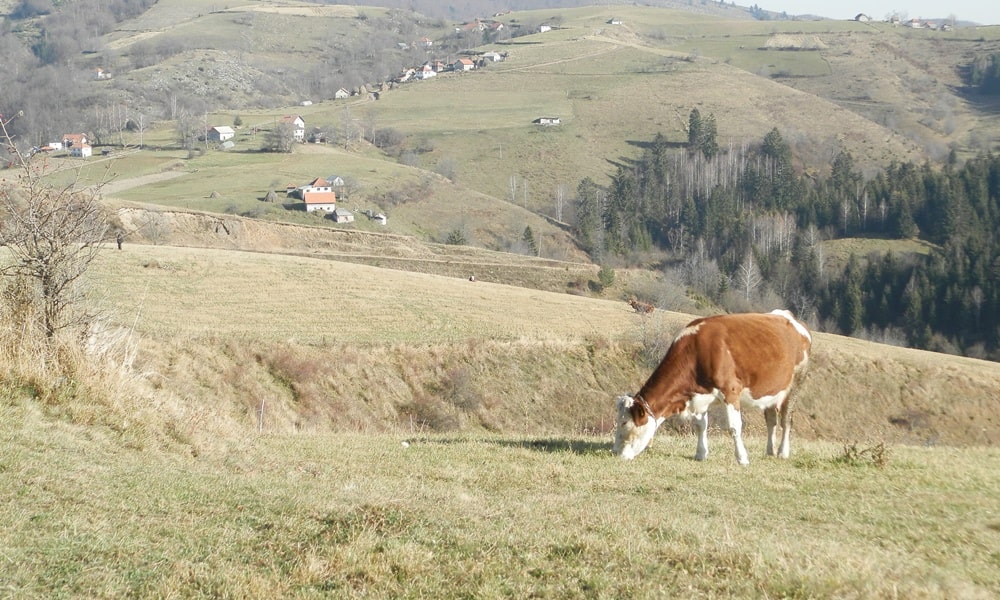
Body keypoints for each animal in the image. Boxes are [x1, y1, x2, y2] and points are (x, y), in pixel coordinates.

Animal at [608, 310, 812, 464]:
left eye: (624, 422)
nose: (615, 452)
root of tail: (788, 316)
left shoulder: (730, 390)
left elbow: (734, 427)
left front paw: (742, 458)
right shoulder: (699, 397)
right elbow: (701, 425)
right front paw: (701, 454)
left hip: (796, 382)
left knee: (786, 419)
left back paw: (783, 452)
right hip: (771, 391)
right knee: (771, 420)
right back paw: (770, 451)